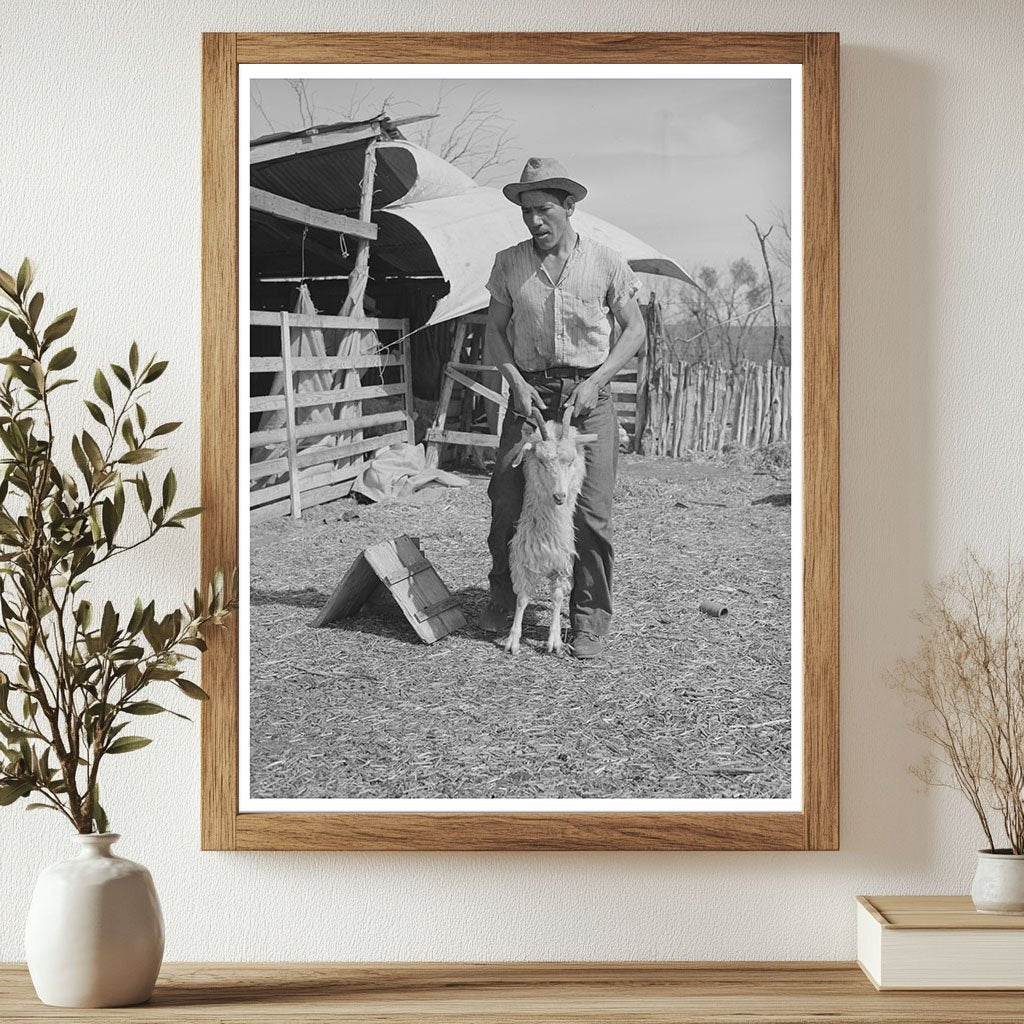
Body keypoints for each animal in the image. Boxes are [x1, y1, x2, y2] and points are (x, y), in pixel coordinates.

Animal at [501, 407, 589, 655]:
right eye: (541, 460)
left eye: (571, 461)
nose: (560, 496)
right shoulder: (522, 560)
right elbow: (522, 598)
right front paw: (513, 640)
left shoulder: (562, 564)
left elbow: (557, 598)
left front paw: (555, 640)